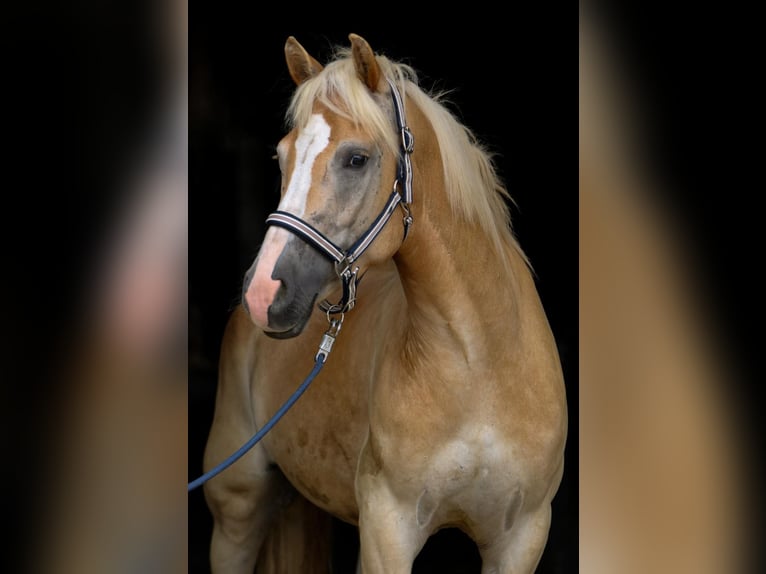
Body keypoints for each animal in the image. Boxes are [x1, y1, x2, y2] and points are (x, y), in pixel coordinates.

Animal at [201, 33, 568, 572]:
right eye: (282, 157)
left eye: (356, 158)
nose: (262, 293)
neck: (478, 366)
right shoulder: (387, 531)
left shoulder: (522, 537)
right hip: (236, 511)